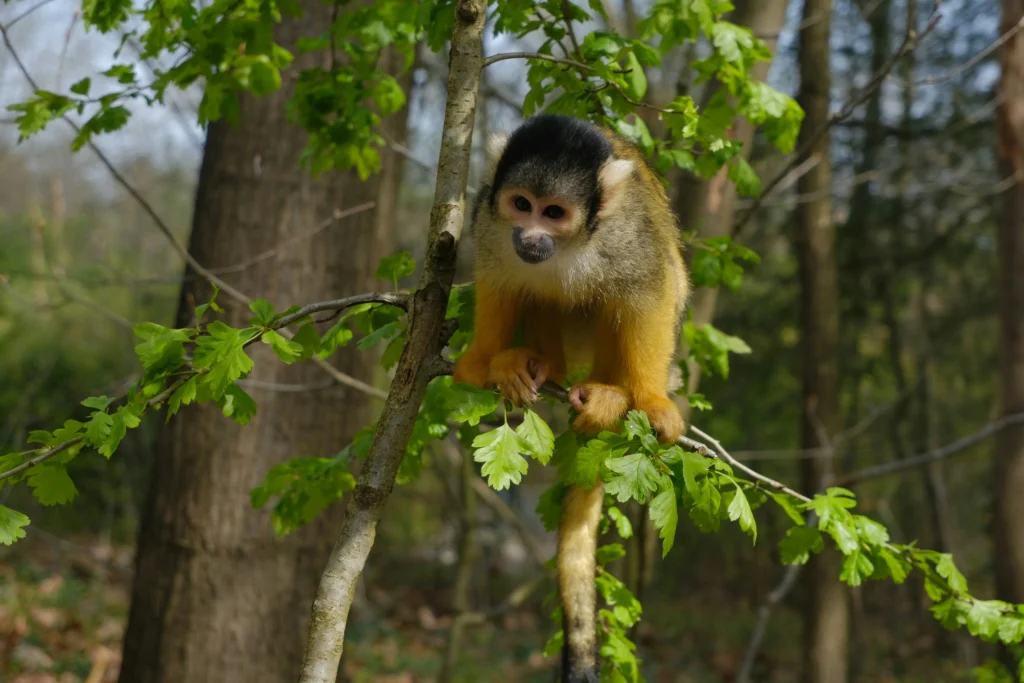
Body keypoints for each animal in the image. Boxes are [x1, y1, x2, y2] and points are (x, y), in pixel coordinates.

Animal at [454, 114, 688, 679]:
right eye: (522, 204)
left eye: (554, 213)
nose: (532, 235)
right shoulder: (490, 218)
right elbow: (498, 277)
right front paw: (483, 356)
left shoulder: (628, 235)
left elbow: (651, 289)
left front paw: (649, 399)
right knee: (539, 292)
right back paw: (536, 365)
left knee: (625, 296)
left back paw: (611, 395)